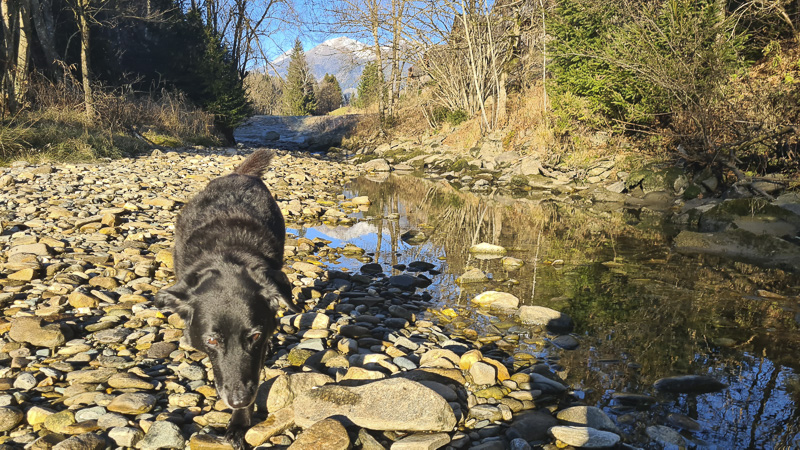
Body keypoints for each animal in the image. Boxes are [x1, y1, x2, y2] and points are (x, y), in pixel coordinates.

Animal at [155, 149, 298, 448]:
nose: (238, 400)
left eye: (255, 336)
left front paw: (239, 422)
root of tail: (239, 174)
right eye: (211, 340)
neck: (225, 256)